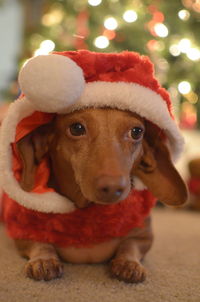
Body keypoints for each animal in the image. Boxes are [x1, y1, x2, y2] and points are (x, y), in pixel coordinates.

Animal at [10, 107, 187, 282]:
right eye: (76, 128)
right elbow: (40, 243)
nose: (113, 188)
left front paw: (128, 263)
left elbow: (130, 245)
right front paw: (43, 260)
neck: (91, 214)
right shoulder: (23, 232)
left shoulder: (144, 237)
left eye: (137, 132)